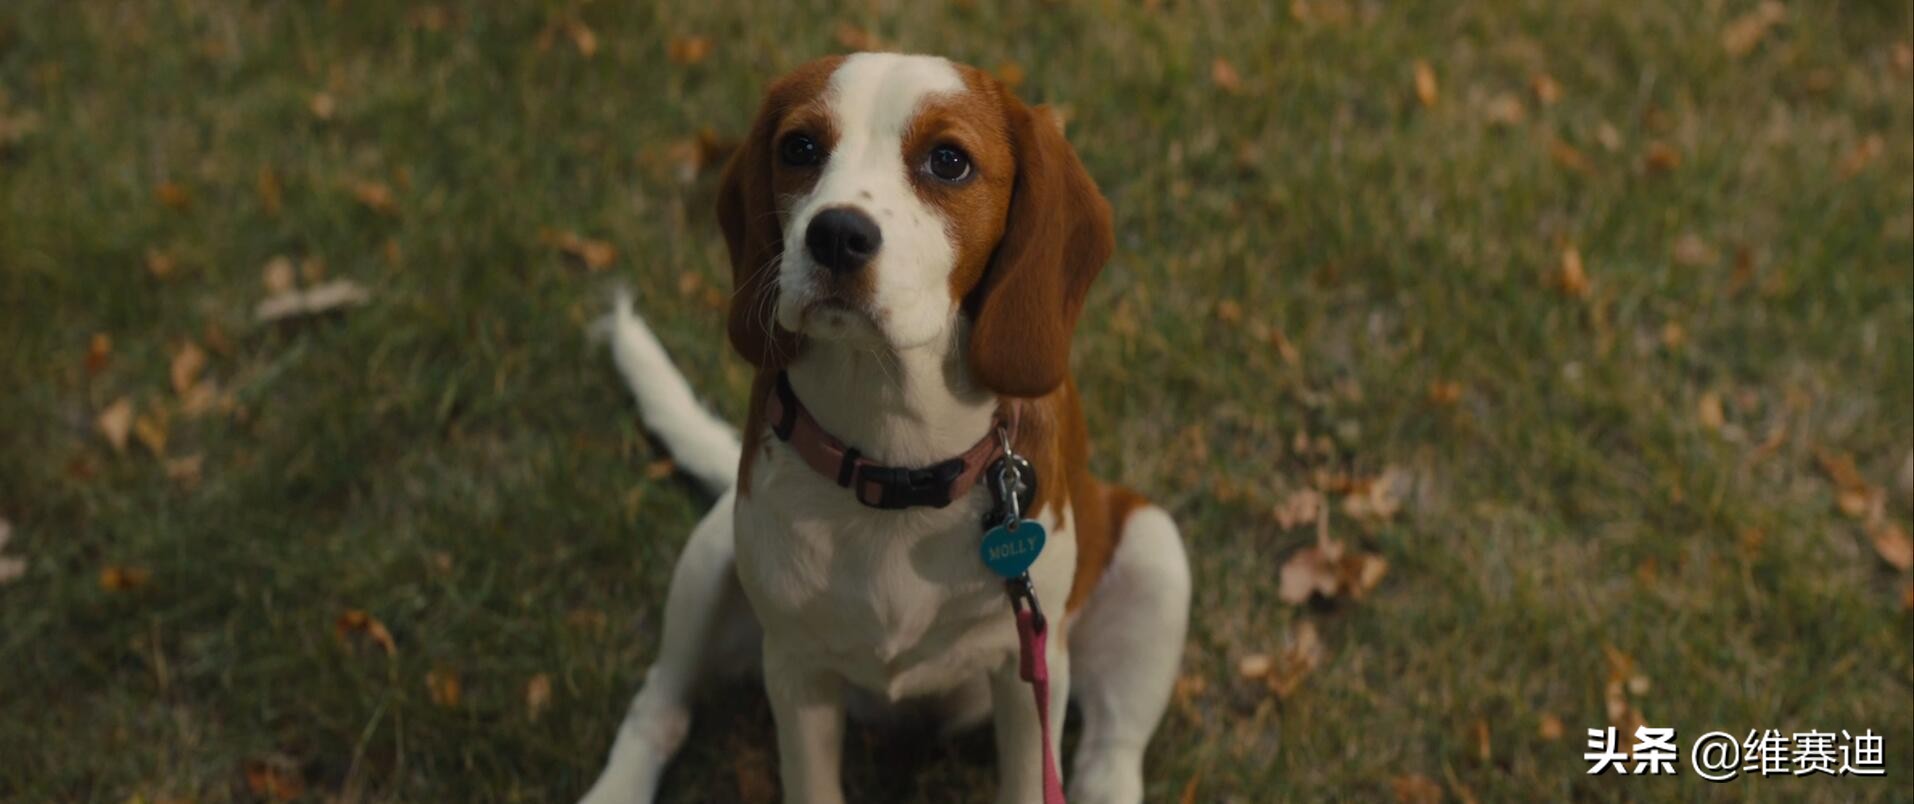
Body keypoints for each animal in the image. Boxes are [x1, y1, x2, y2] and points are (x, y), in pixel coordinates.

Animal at [581, 53, 1191, 804]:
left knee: (1107, 757)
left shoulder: (1025, 671)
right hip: (711, 557)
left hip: (1154, 555)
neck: (897, 458)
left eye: (949, 161)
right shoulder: (798, 671)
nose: (836, 234)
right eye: (799, 148)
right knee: (659, 705)